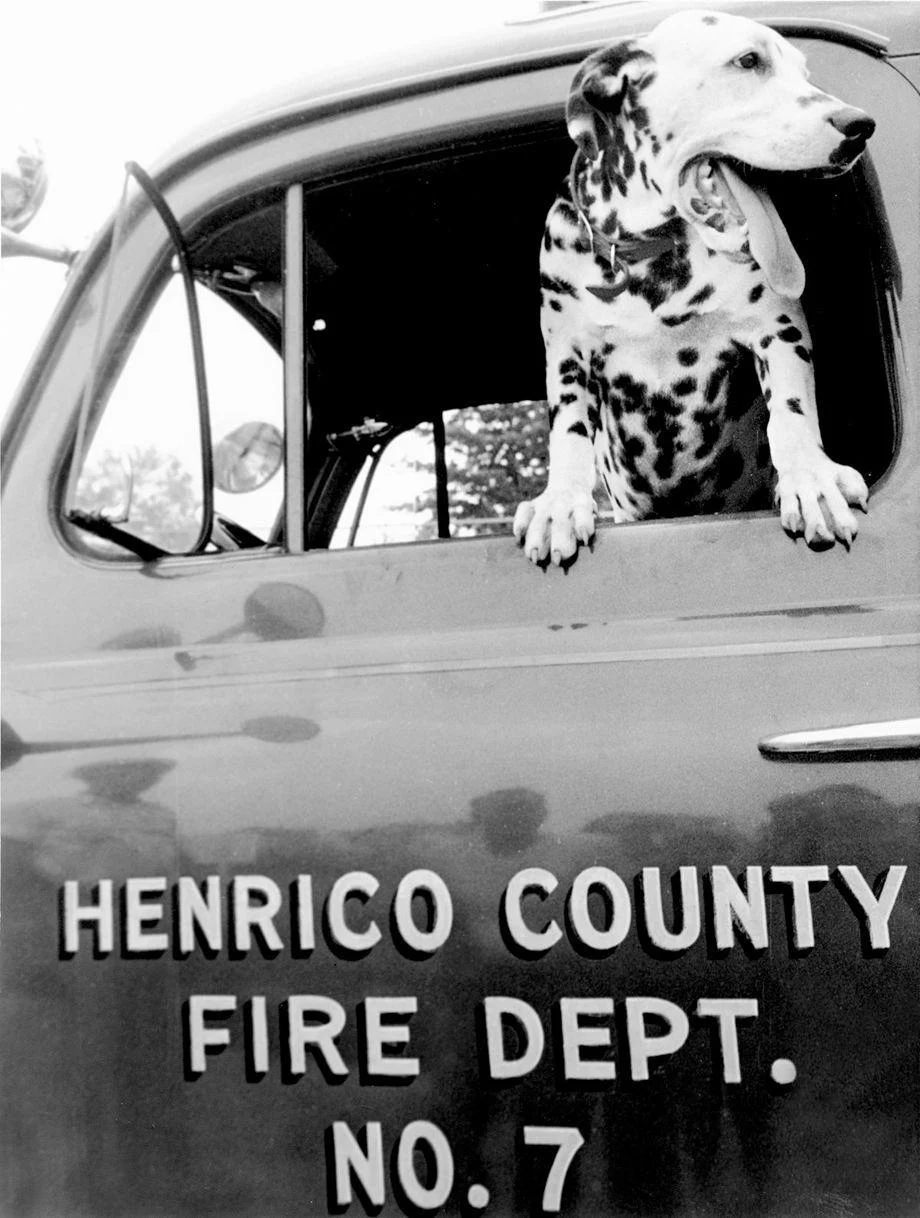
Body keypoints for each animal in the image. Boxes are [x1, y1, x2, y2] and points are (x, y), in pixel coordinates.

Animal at [514, 7, 872, 567]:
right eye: (748, 61)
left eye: (805, 73)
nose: (859, 125)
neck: (649, 257)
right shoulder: (568, 351)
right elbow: (568, 429)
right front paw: (559, 502)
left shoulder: (779, 329)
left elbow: (791, 411)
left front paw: (812, 477)